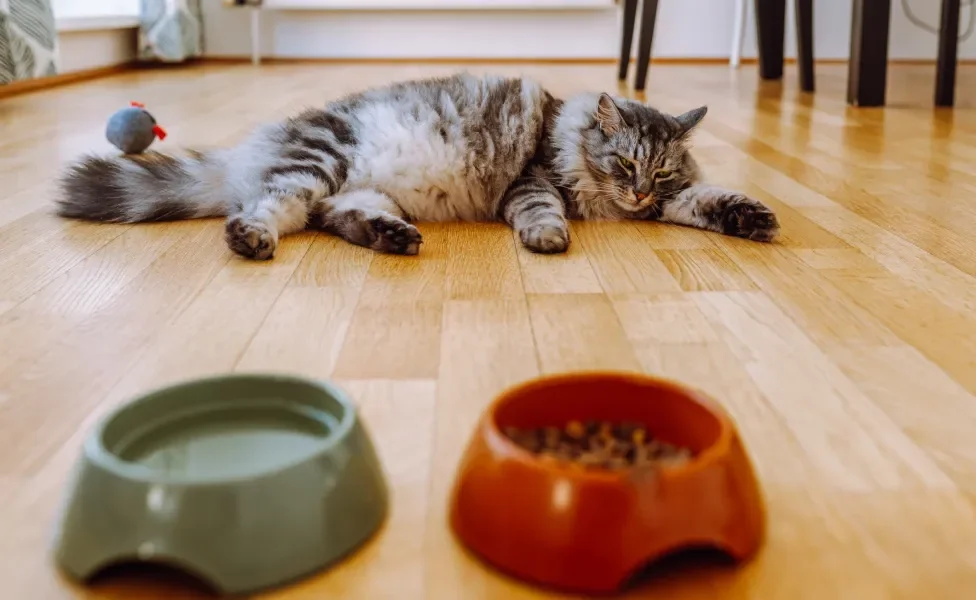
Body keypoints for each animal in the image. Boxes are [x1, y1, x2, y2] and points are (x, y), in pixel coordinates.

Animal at [59, 71, 776, 258]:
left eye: (659, 174)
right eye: (624, 164)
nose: (638, 198)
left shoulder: (674, 201)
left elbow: (707, 202)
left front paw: (753, 218)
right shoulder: (532, 181)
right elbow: (543, 211)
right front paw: (549, 239)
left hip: (355, 191)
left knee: (334, 218)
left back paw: (393, 238)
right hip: (316, 163)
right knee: (268, 209)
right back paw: (251, 238)